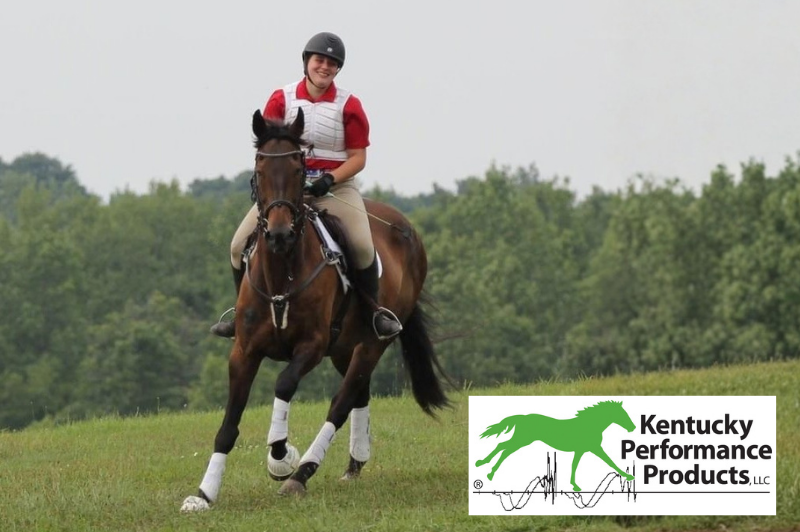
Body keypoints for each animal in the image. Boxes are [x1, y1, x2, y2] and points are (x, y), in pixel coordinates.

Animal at [181, 108, 450, 512]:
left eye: (298, 169)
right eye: (259, 167)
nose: (279, 235)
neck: (282, 273)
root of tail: (408, 230)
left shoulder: (311, 345)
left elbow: (284, 383)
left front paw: (281, 457)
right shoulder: (244, 350)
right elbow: (228, 425)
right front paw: (204, 494)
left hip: (371, 343)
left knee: (341, 403)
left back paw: (302, 472)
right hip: (344, 348)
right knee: (359, 393)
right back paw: (354, 463)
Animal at [474, 401, 635, 491]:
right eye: (622, 414)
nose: (633, 427)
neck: (590, 425)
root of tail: (522, 417)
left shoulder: (582, 450)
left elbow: (575, 465)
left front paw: (574, 485)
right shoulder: (593, 448)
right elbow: (610, 462)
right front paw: (628, 476)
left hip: (521, 440)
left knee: (503, 448)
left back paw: (486, 469)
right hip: (522, 440)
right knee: (503, 447)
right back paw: (486, 469)